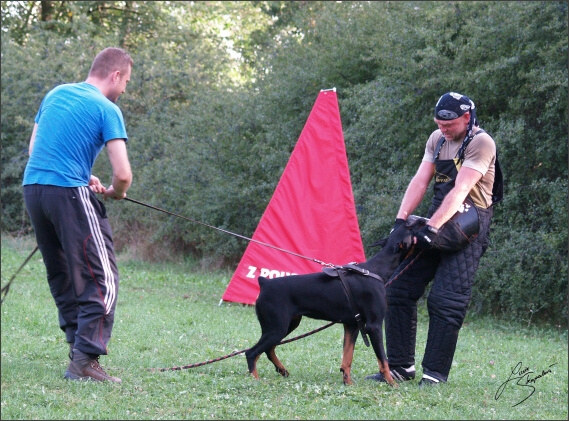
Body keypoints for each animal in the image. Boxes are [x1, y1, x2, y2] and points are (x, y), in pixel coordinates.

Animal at [243, 221, 412, 386]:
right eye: (409, 228)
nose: (415, 220)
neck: (376, 270)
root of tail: (264, 282)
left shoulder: (352, 325)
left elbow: (347, 358)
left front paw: (348, 382)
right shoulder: (374, 326)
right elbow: (383, 360)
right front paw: (392, 383)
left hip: (287, 325)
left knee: (268, 349)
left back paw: (282, 370)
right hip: (277, 328)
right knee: (251, 352)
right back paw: (255, 380)